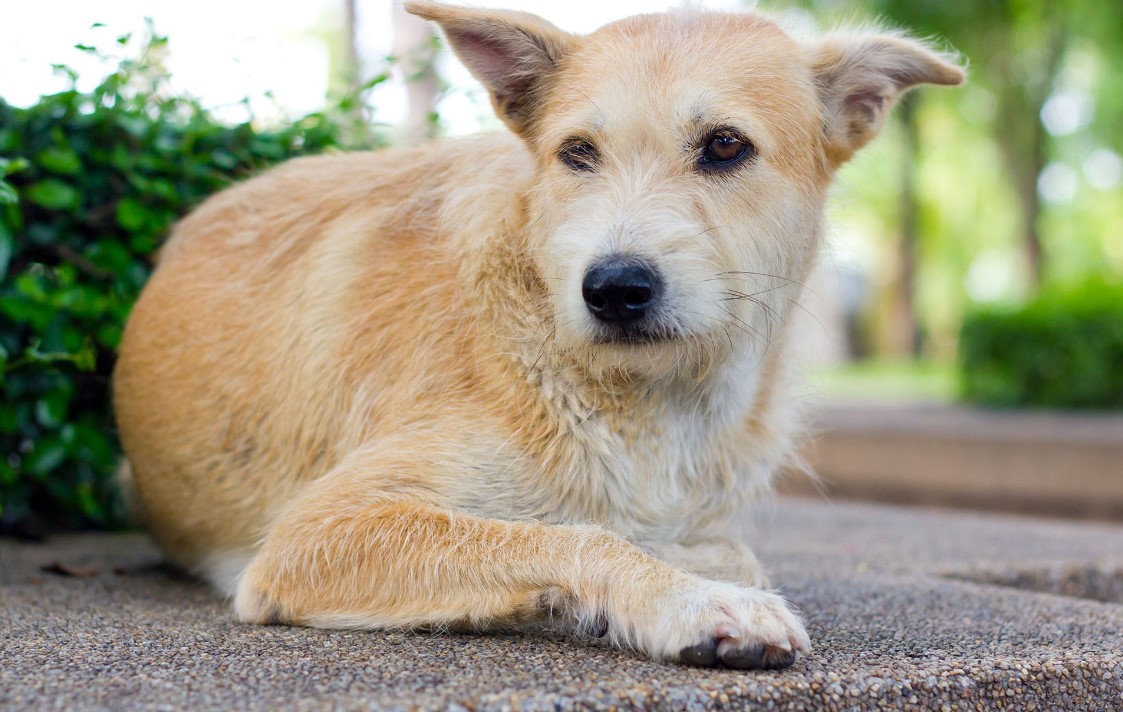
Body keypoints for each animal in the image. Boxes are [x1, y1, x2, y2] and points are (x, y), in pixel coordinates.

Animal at [113, 1, 961, 664]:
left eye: (725, 145)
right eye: (576, 153)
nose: (613, 288)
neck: (645, 402)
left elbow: (708, 545)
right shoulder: (313, 535)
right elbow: (569, 535)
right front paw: (688, 602)